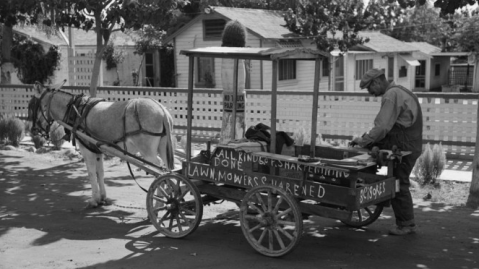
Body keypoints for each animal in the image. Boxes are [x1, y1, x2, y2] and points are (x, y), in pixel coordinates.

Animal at [28, 82, 174, 206]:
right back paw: (165, 199)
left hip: (148, 153)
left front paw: (94, 200)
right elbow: (100, 173)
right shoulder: (97, 151)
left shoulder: (87, 151)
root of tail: (162, 110)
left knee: (160, 171)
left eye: (33, 106)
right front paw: (103, 197)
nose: (33, 130)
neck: (74, 111)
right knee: (168, 169)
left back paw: (160, 202)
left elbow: (91, 173)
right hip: (163, 148)